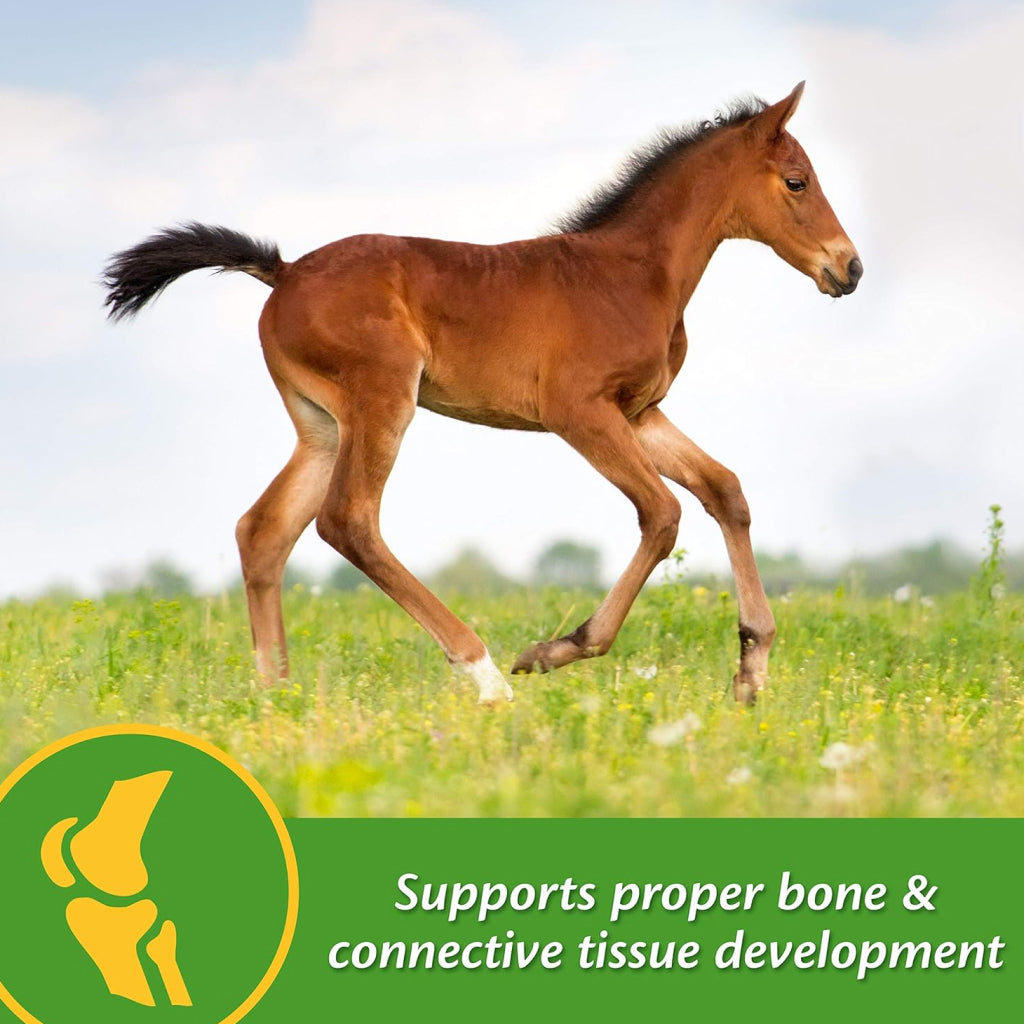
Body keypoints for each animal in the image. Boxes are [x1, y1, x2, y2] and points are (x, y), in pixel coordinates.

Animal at [103, 82, 861, 706]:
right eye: (796, 181)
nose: (849, 267)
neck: (632, 273)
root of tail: (283, 272)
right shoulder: (579, 412)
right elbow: (663, 512)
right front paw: (557, 649)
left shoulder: (640, 412)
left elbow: (724, 490)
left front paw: (751, 668)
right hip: (382, 402)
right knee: (347, 521)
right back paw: (487, 675)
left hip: (320, 423)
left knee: (264, 530)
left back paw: (274, 696)